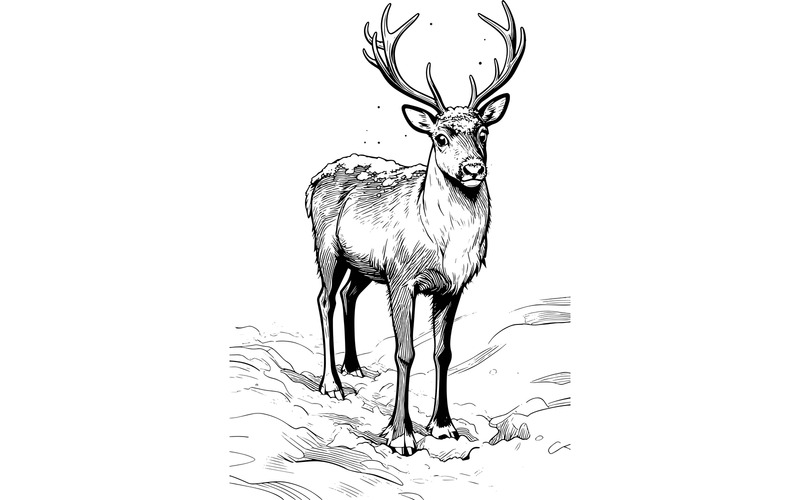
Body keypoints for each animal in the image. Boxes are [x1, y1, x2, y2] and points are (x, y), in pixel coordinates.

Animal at [304, 1, 526, 456]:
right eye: (440, 137)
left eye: (483, 131)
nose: (473, 168)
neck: (445, 246)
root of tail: (313, 181)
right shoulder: (403, 277)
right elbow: (405, 352)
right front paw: (401, 435)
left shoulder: (452, 287)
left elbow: (443, 352)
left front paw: (443, 426)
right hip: (326, 247)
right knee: (325, 298)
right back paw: (332, 384)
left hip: (366, 265)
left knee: (350, 294)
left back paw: (354, 367)